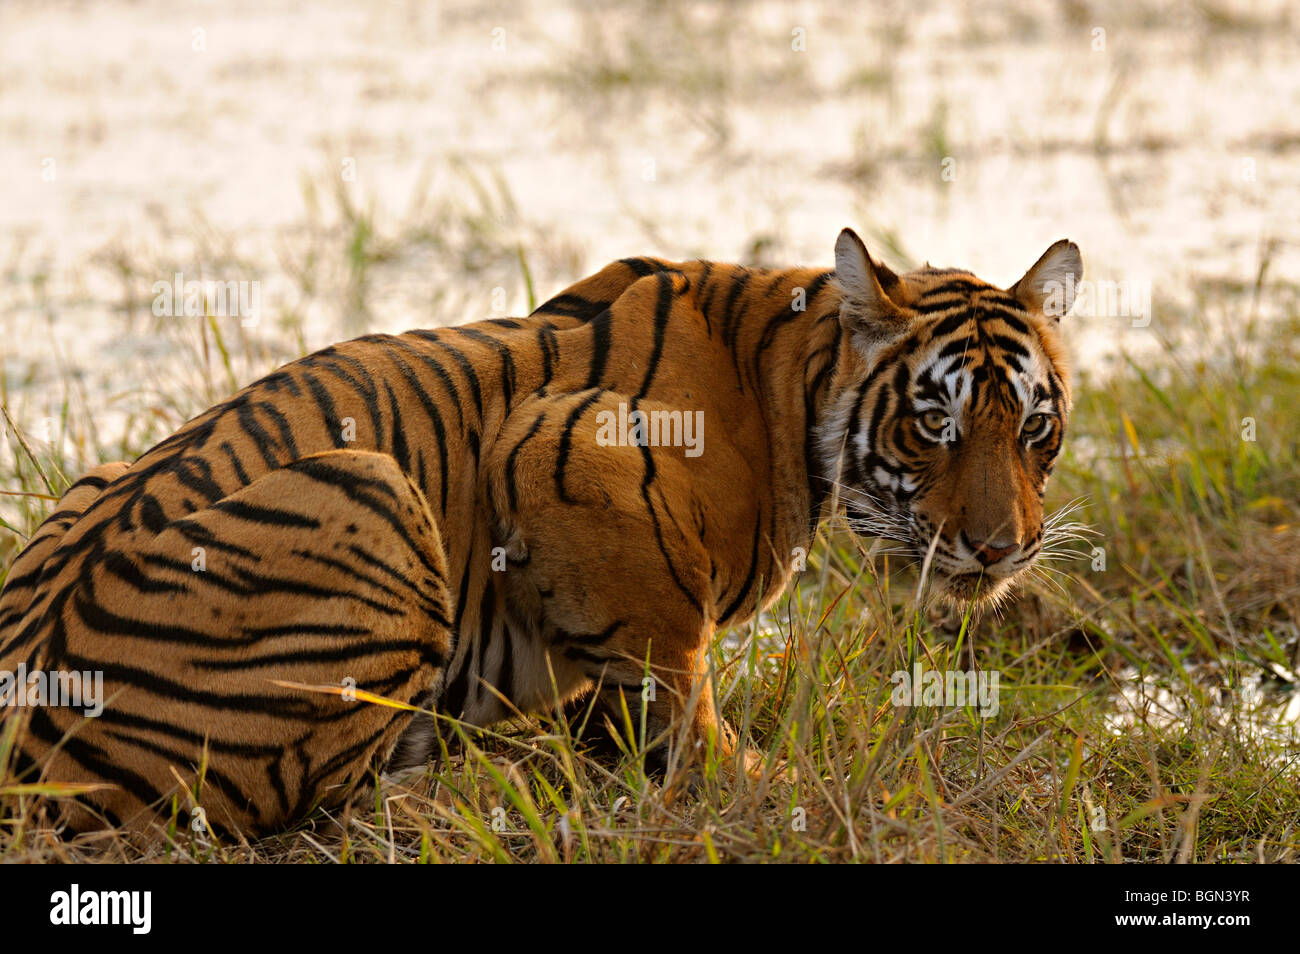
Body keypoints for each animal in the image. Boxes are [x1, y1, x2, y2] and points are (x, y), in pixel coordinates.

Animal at [0, 230, 1076, 837]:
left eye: (1033, 426)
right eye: (932, 422)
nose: (999, 550)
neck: (791, 374)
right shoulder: (563, 445)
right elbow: (680, 677)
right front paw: (762, 784)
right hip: (371, 487)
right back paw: (463, 787)